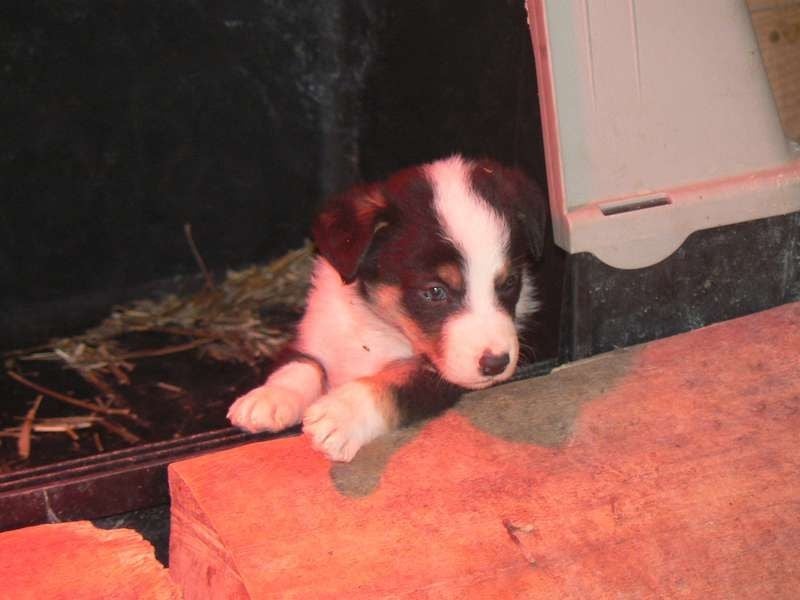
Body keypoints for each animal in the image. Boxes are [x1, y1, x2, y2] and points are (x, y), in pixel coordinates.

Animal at [228, 154, 548, 460]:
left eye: (509, 283)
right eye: (435, 291)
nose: (496, 363)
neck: (380, 325)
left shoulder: (436, 374)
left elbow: (395, 383)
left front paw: (339, 416)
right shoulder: (317, 326)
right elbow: (302, 361)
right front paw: (270, 398)